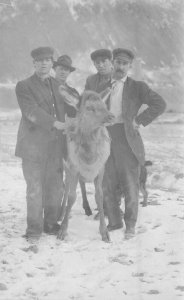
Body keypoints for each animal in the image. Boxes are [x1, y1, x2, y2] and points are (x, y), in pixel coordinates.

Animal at [57, 90, 114, 243]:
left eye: (104, 105)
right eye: (89, 108)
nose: (111, 116)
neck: (89, 159)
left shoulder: (101, 169)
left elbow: (99, 196)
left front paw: (104, 232)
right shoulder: (73, 167)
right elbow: (71, 197)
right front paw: (62, 230)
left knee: (81, 184)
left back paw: (87, 208)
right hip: (66, 167)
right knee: (65, 187)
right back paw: (61, 213)